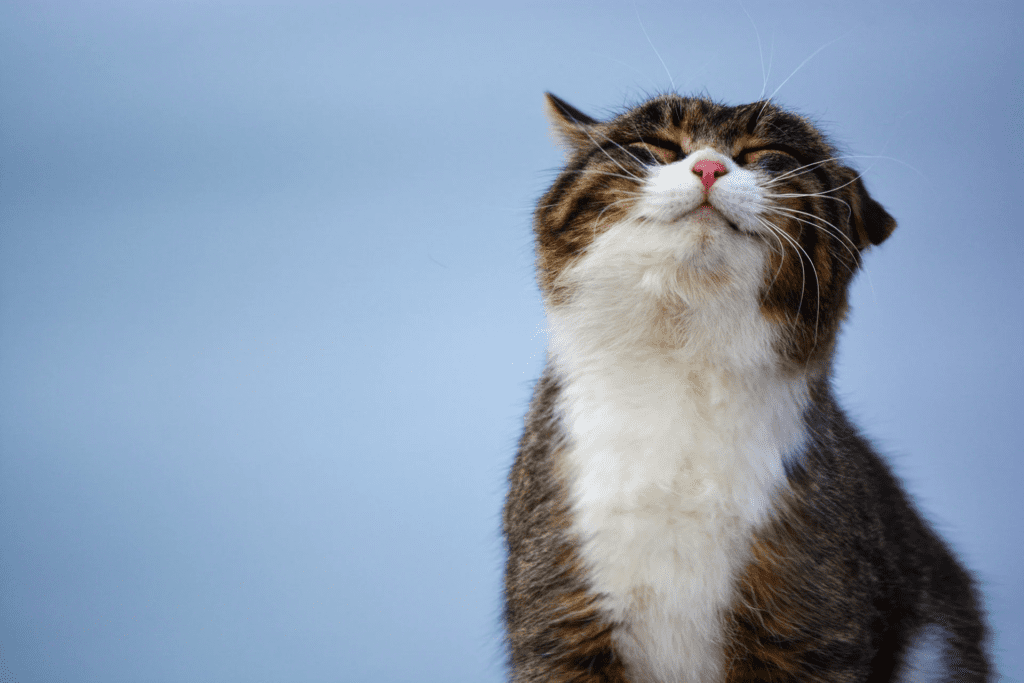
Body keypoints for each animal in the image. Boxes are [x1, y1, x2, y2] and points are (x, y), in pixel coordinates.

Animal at [503, 94, 991, 683]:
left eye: (766, 153)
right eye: (656, 146)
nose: (710, 168)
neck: (682, 372)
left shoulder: (808, 630)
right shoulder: (560, 618)